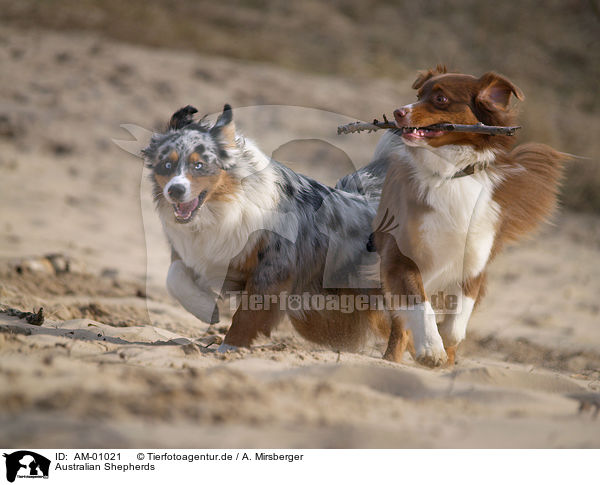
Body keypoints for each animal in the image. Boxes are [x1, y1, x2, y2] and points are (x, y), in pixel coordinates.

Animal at [372, 65, 564, 366]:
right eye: (418, 94)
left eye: (440, 99)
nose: (397, 112)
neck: (449, 174)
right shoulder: (400, 257)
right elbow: (420, 306)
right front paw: (431, 348)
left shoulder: (474, 261)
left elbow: (457, 320)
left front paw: (443, 343)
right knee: (399, 324)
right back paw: (395, 357)